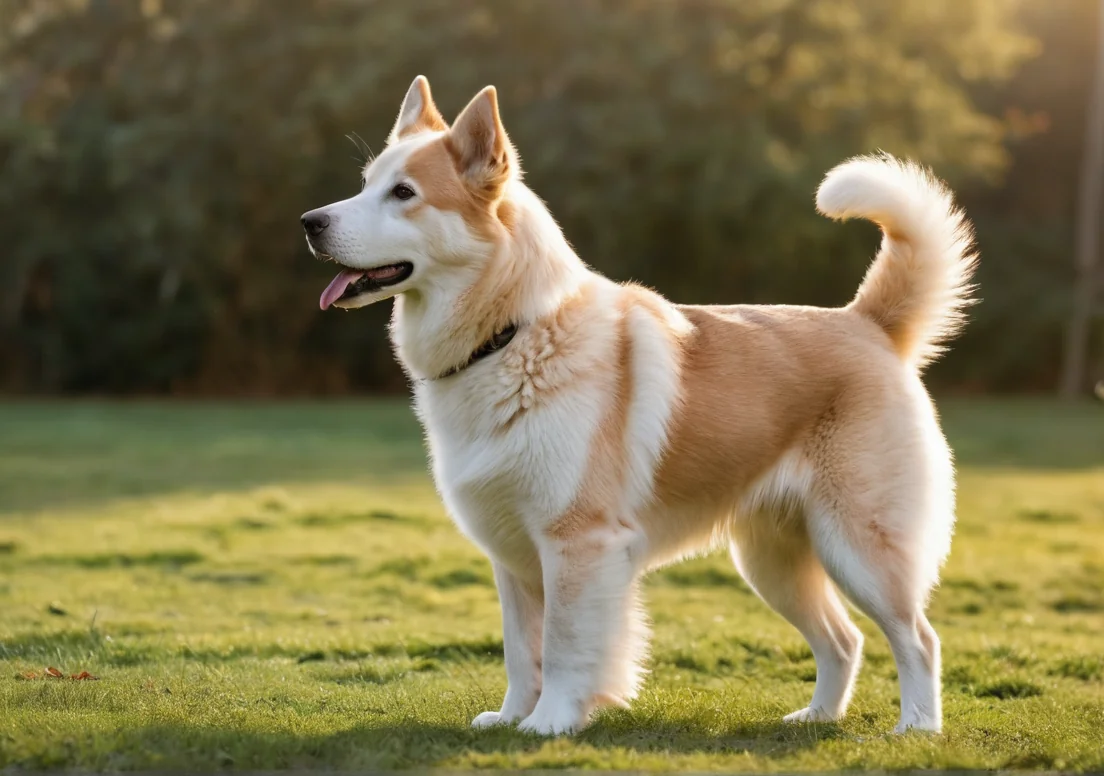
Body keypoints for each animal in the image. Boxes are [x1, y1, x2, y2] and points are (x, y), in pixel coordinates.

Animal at [300, 77, 975, 732]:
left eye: (403, 193)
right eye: (365, 186)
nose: (309, 221)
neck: (513, 336)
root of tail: (867, 323)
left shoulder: (579, 545)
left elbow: (565, 647)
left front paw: (549, 724)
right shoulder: (511, 553)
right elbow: (521, 651)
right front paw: (512, 717)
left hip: (859, 547)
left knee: (918, 639)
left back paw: (917, 728)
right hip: (771, 561)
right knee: (844, 641)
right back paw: (816, 718)